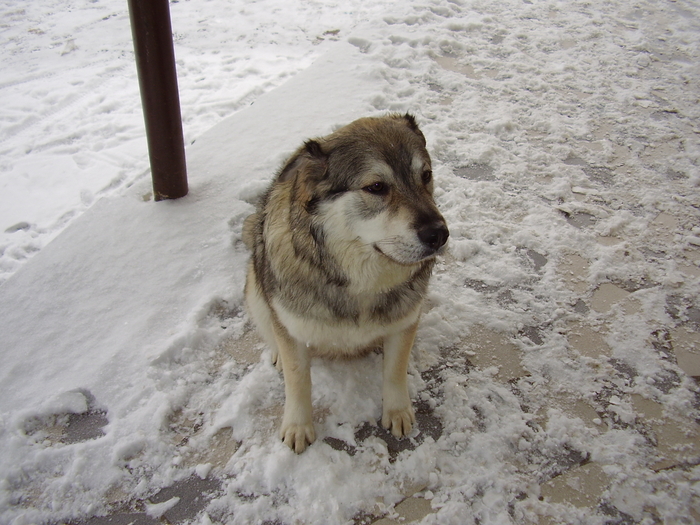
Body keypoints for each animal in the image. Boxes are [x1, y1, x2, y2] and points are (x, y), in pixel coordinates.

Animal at [241, 113, 448, 450]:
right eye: (376, 187)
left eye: (426, 175)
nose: (439, 235)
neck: (359, 282)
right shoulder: (291, 330)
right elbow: (298, 380)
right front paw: (298, 426)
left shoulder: (404, 321)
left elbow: (394, 372)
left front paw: (397, 411)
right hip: (254, 289)